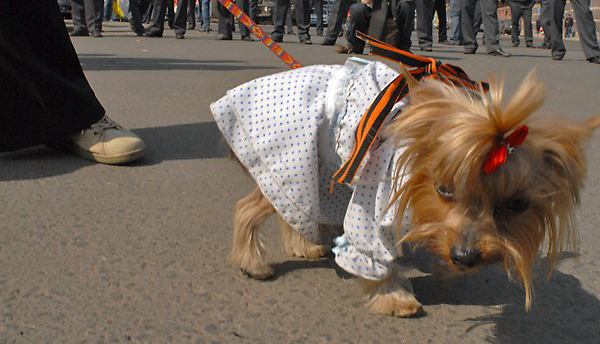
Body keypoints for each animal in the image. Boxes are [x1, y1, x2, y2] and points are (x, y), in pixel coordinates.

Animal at [212, 57, 600, 318]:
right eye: (444, 189)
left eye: (516, 205)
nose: (465, 257)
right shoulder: (374, 200)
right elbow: (372, 253)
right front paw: (394, 298)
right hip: (292, 155)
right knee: (250, 207)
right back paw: (254, 264)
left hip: (322, 167)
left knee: (295, 208)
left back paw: (304, 247)